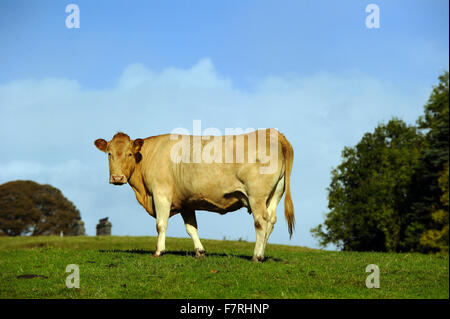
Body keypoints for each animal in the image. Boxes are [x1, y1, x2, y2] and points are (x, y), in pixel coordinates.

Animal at [93, 128, 294, 262]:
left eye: (129, 153)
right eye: (109, 153)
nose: (117, 177)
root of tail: (272, 132)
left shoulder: (161, 193)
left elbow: (161, 224)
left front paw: (159, 251)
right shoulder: (186, 202)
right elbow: (191, 228)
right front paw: (200, 251)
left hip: (256, 196)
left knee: (261, 222)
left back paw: (256, 255)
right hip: (274, 195)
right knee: (271, 222)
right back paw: (262, 254)